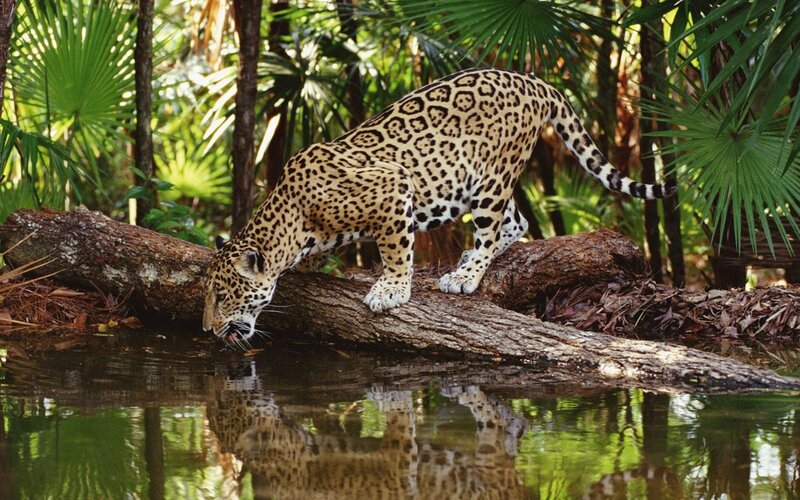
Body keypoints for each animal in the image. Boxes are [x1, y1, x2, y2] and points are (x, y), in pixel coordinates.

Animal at [203, 67, 676, 341]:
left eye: (223, 295)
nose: (208, 330)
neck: (292, 218)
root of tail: (533, 80)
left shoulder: (393, 187)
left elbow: (396, 250)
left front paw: (391, 289)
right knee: (517, 221)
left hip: (491, 178)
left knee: (494, 226)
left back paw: (465, 274)